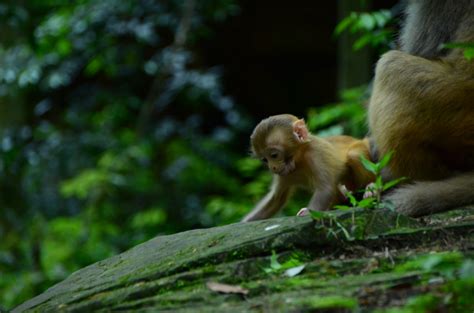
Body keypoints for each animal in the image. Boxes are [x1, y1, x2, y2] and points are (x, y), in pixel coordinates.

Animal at [244, 113, 374, 221]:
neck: (299, 159)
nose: (273, 168)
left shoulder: (316, 154)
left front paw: (309, 211)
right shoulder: (284, 174)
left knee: (354, 155)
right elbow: (276, 200)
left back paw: (371, 187)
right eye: (265, 160)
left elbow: (325, 188)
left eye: (274, 155)